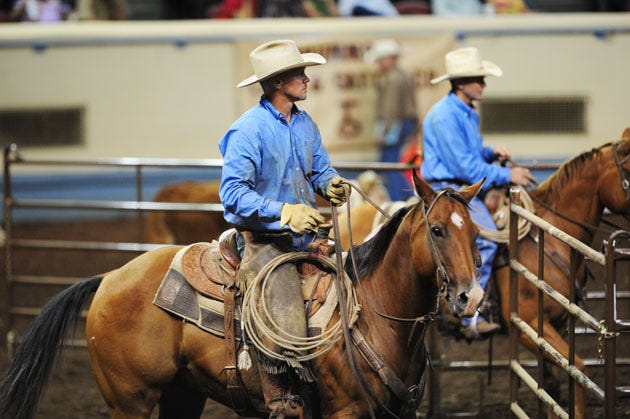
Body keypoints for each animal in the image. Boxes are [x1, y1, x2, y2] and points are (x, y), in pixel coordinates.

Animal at [0, 173, 486, 419]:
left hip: (183, 394)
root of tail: (108, 277)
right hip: (130, 402)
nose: (471, 297)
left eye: (476, 231)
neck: (375, 315)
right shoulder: (344, 411)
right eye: (437, 230)